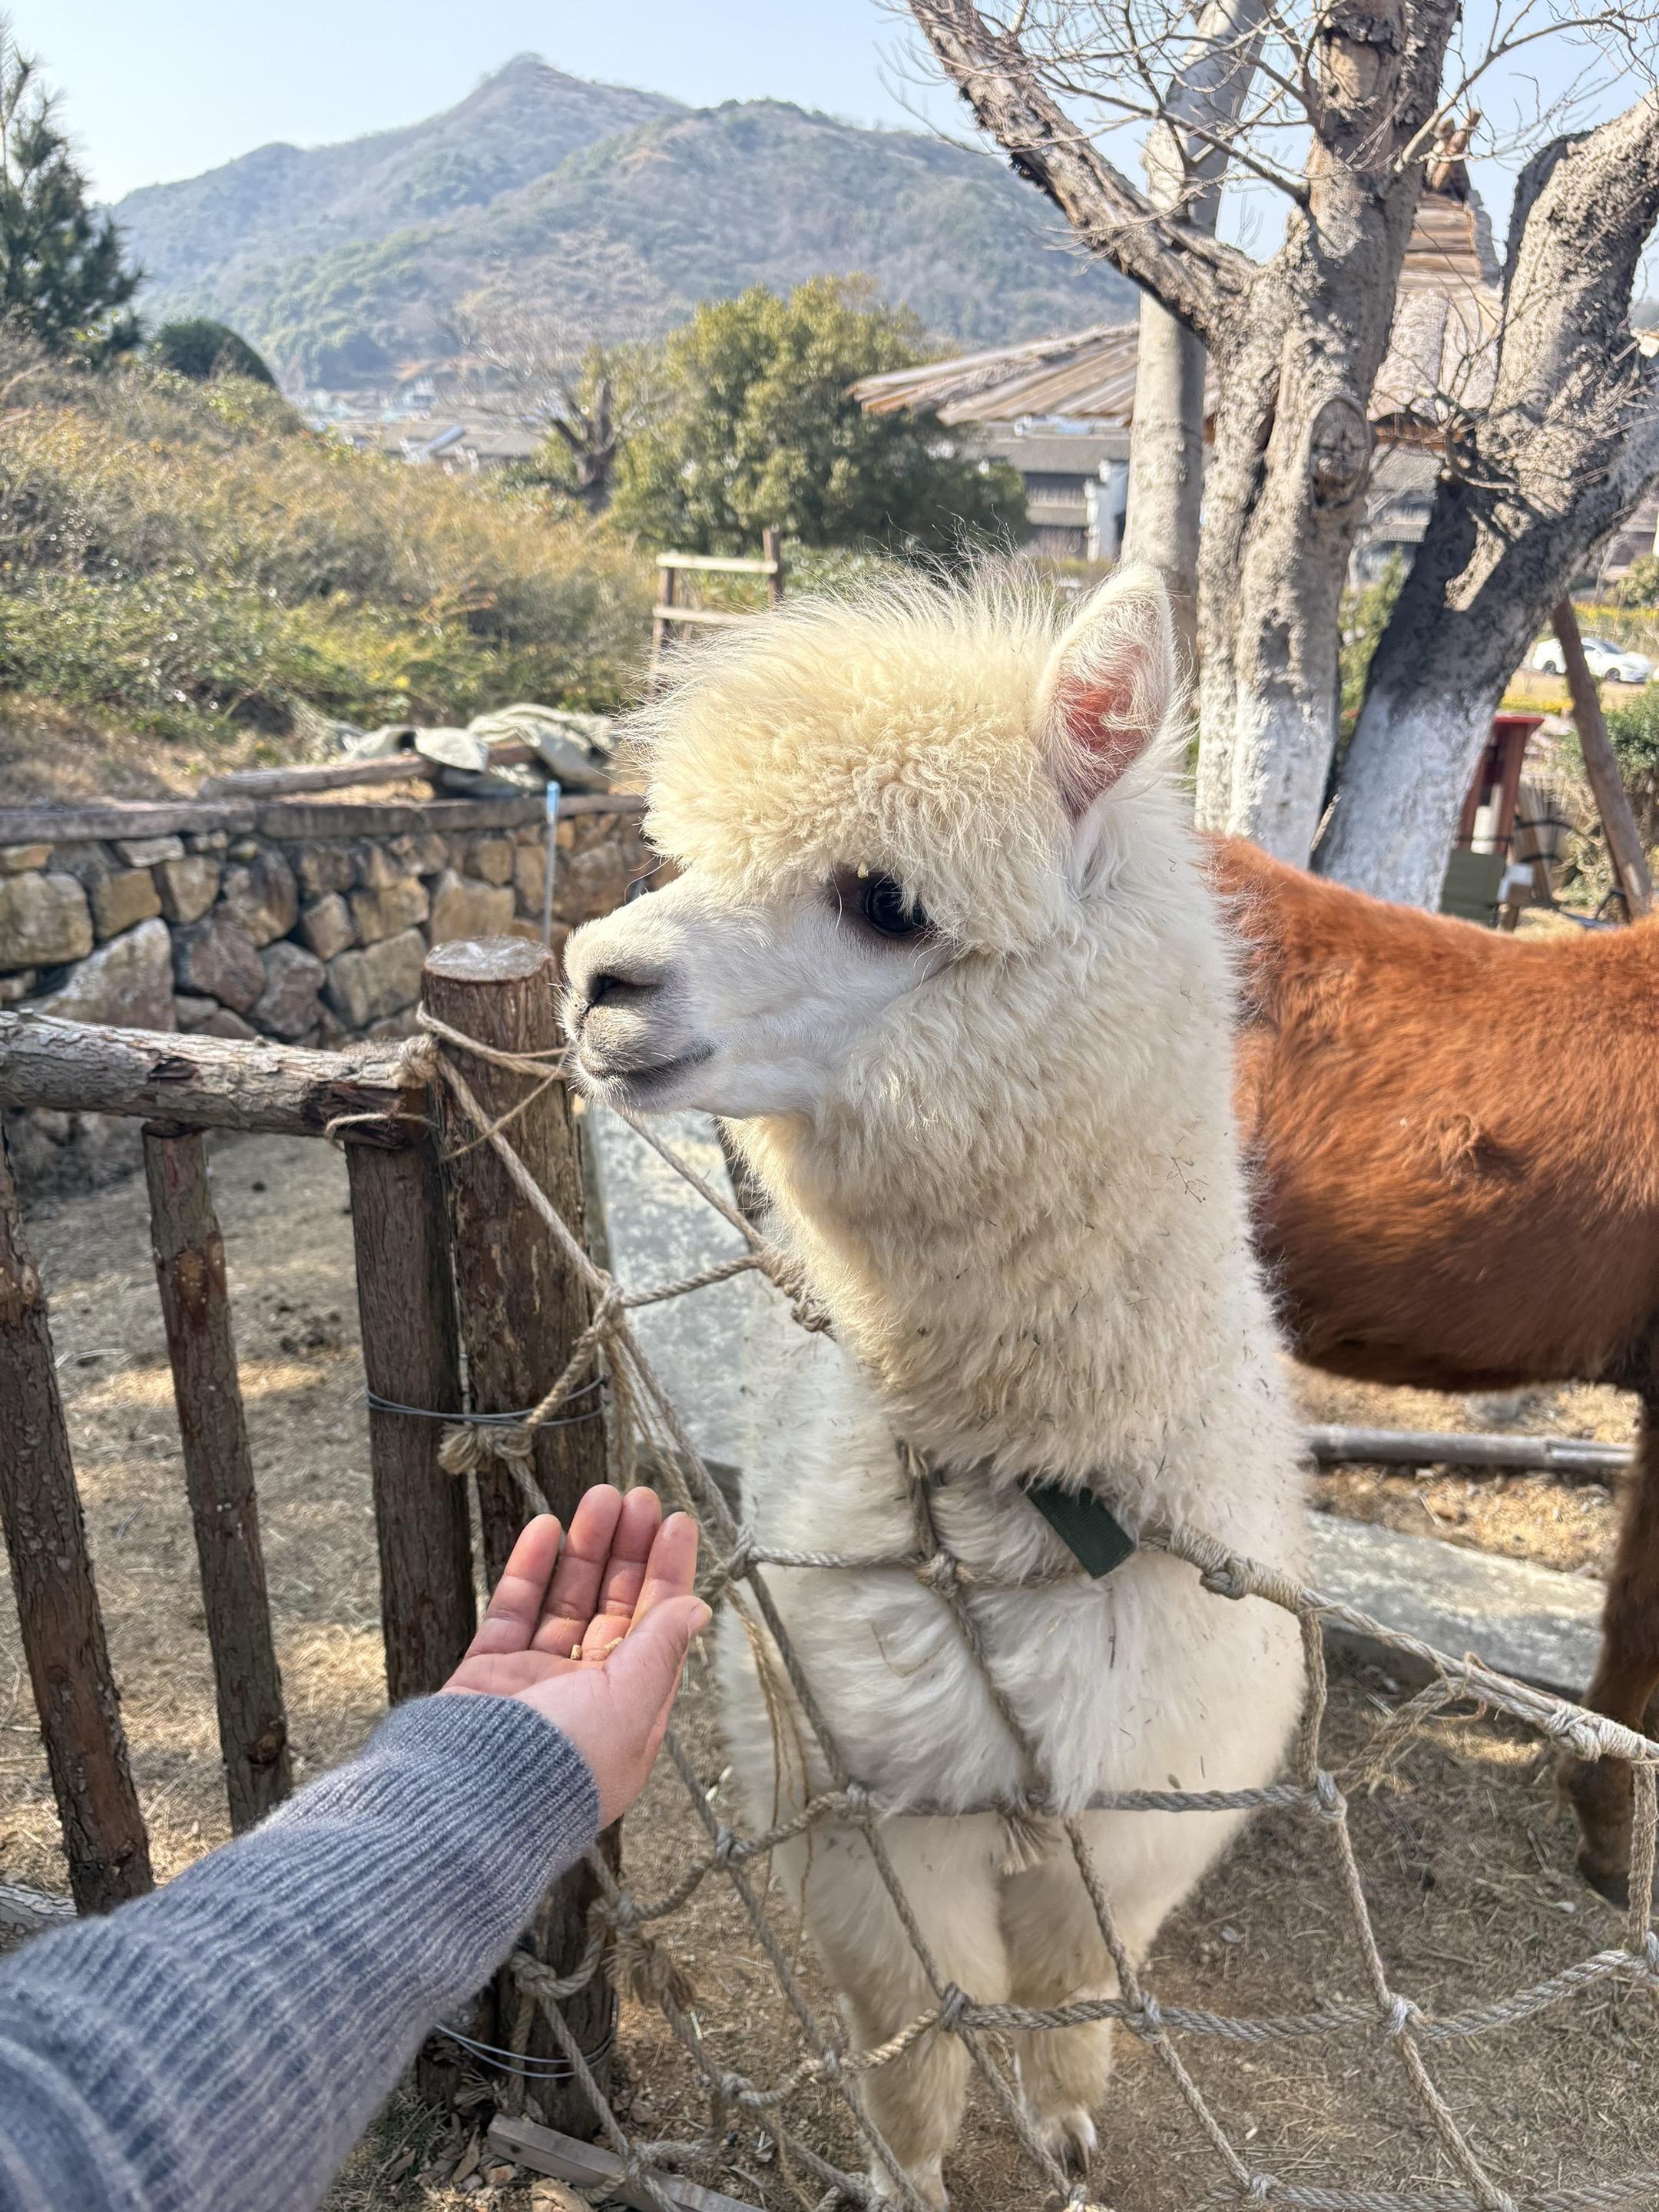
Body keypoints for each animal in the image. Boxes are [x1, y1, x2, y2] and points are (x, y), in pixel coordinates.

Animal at [563, 567, 1307, 2206]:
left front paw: (1070, 2133)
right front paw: (906, 2176)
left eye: (886, 899)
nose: (594, 979)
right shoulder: (871, 1810)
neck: (1047, 1505)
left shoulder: (1140, 1811)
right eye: (685, 852)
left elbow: (1079, 1993)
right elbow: (917, 2034)